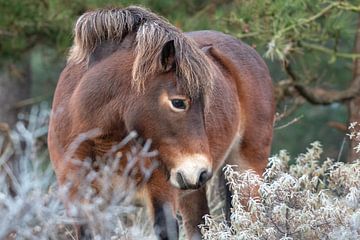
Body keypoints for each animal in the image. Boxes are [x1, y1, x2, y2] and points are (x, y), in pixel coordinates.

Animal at [47, 5, 272, 240]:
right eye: (178, 102)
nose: (200, 171)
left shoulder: (161, 194)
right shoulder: (82, 202)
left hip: (244, 172)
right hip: (192, 190)